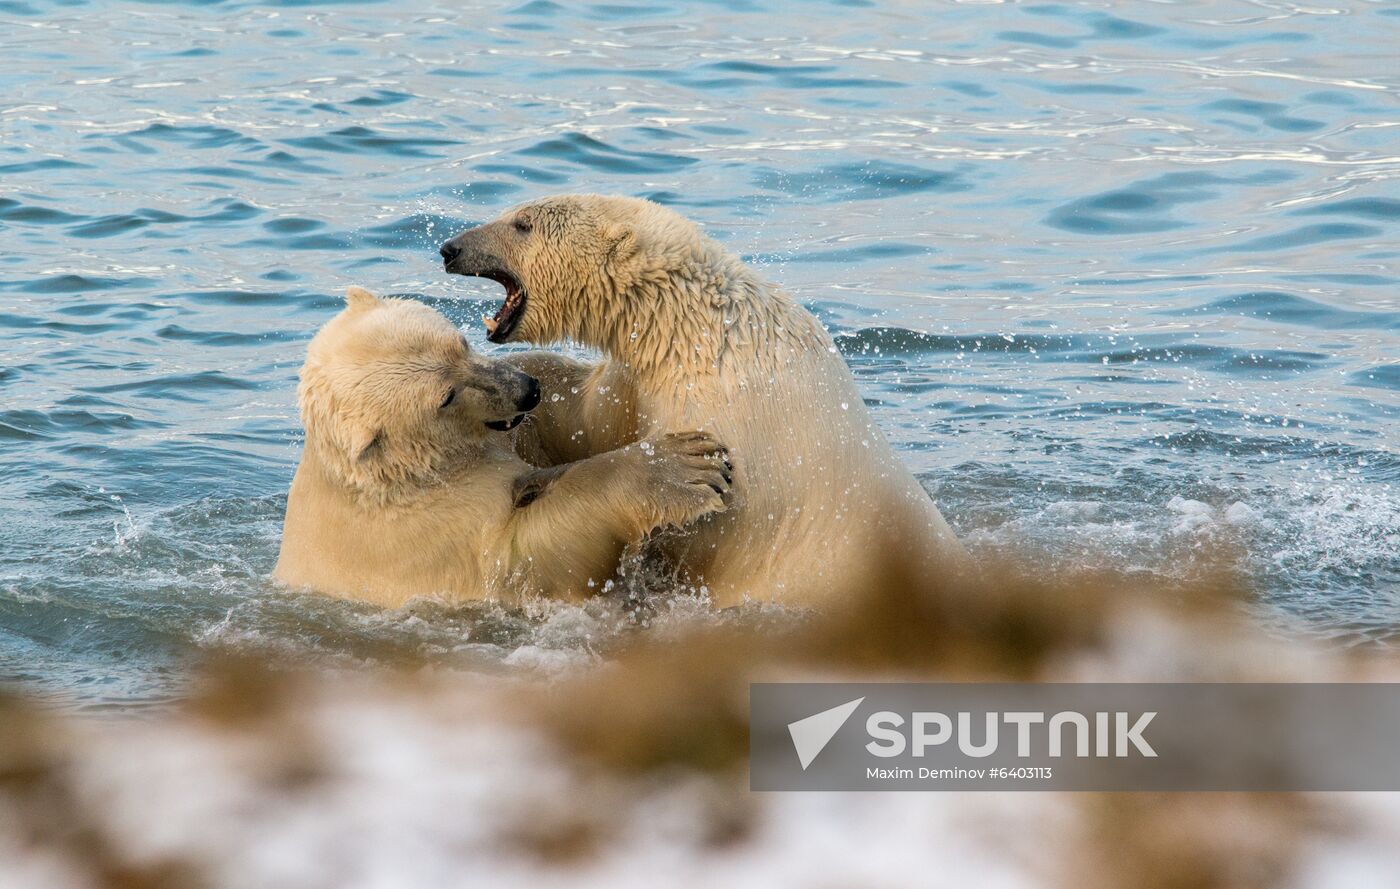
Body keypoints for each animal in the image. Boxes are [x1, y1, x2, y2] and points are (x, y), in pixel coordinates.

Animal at [270, 288, 733, 607]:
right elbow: (524, 556)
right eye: (446, 396)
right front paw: (689, 467)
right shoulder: (432, 530)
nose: (527, 392)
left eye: (460, 342)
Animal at [442, 196, 968, 607]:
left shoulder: (726, 417)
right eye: (512, 212)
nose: (450, 249)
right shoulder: (641, 379)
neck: (694, 329)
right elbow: (588, 415)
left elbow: (704, 527)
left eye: (522, 223)